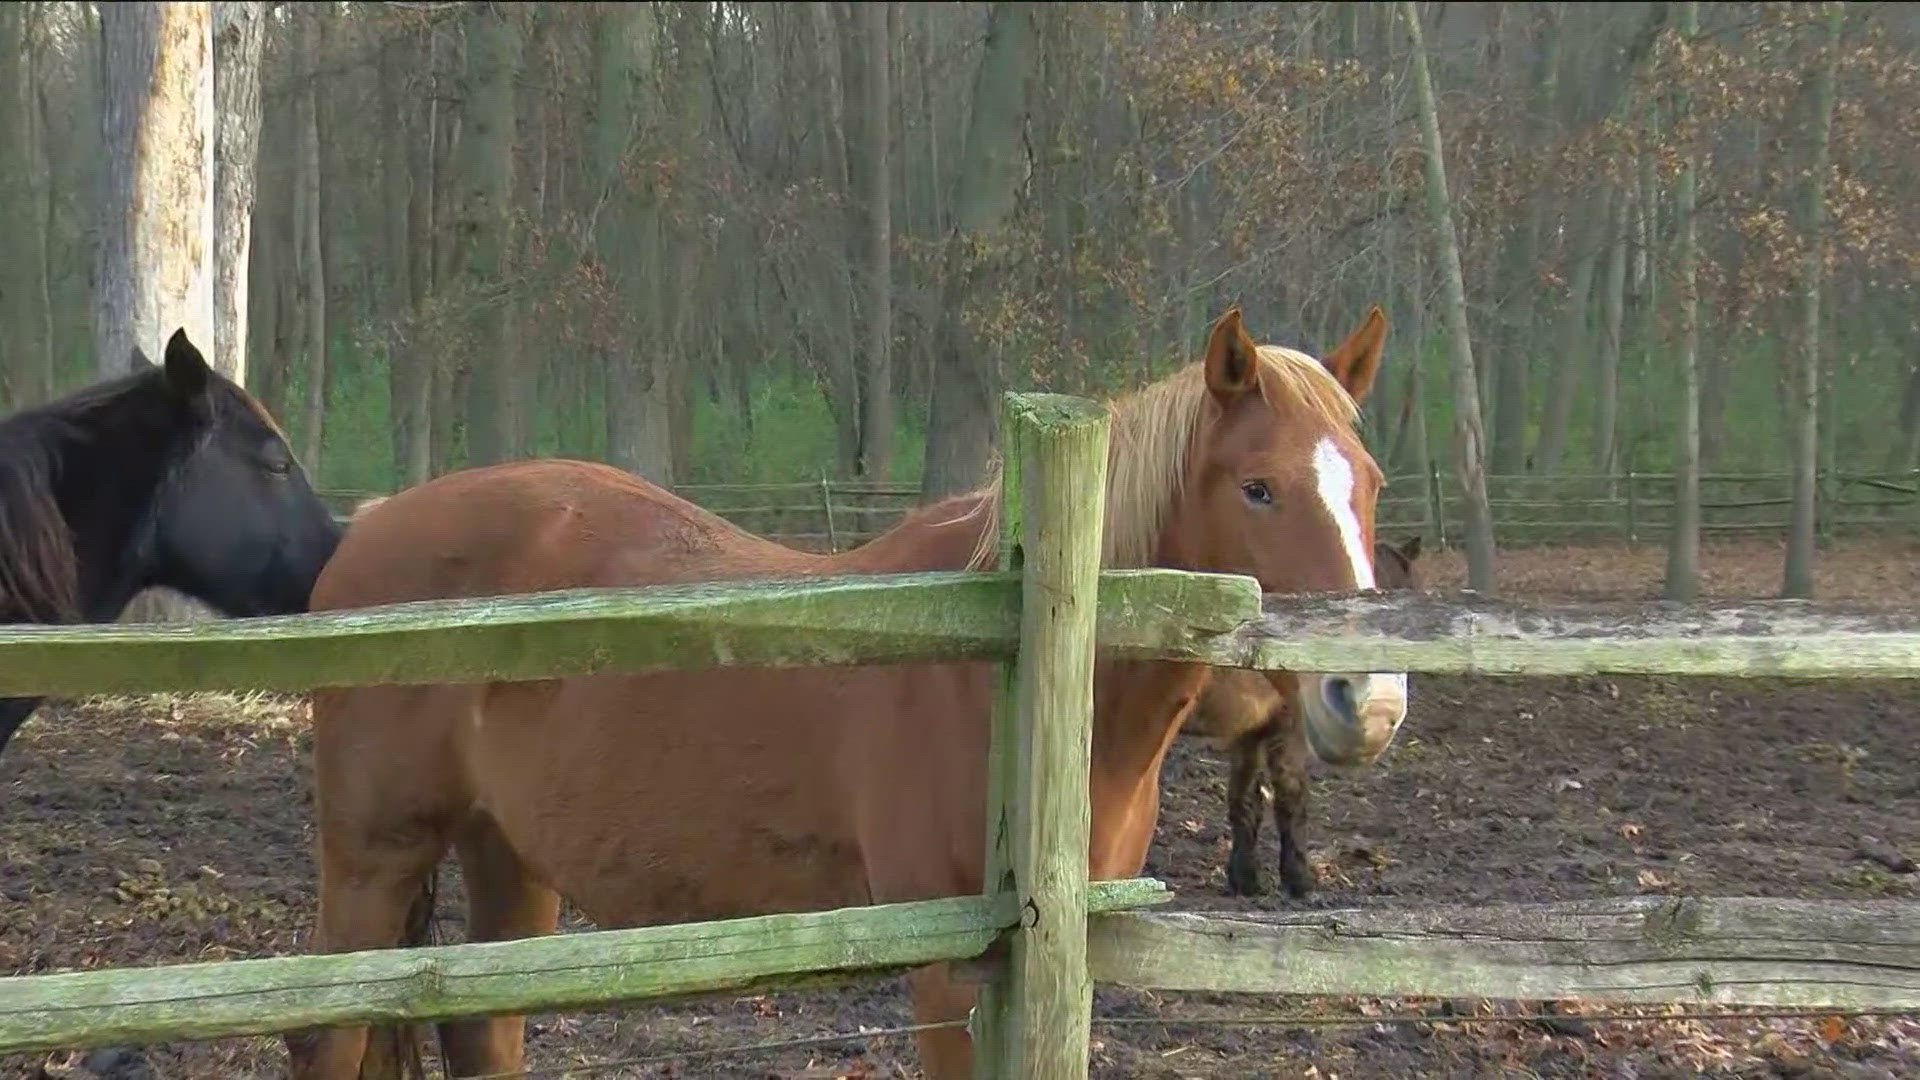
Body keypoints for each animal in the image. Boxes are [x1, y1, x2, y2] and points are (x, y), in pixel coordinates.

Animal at [1182, 534, 1428, 895]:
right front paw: (1298, 877)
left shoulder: (1250, 732)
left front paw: (1244, 877)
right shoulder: (1287, 728)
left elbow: (1245, 798)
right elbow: (1290, 795)